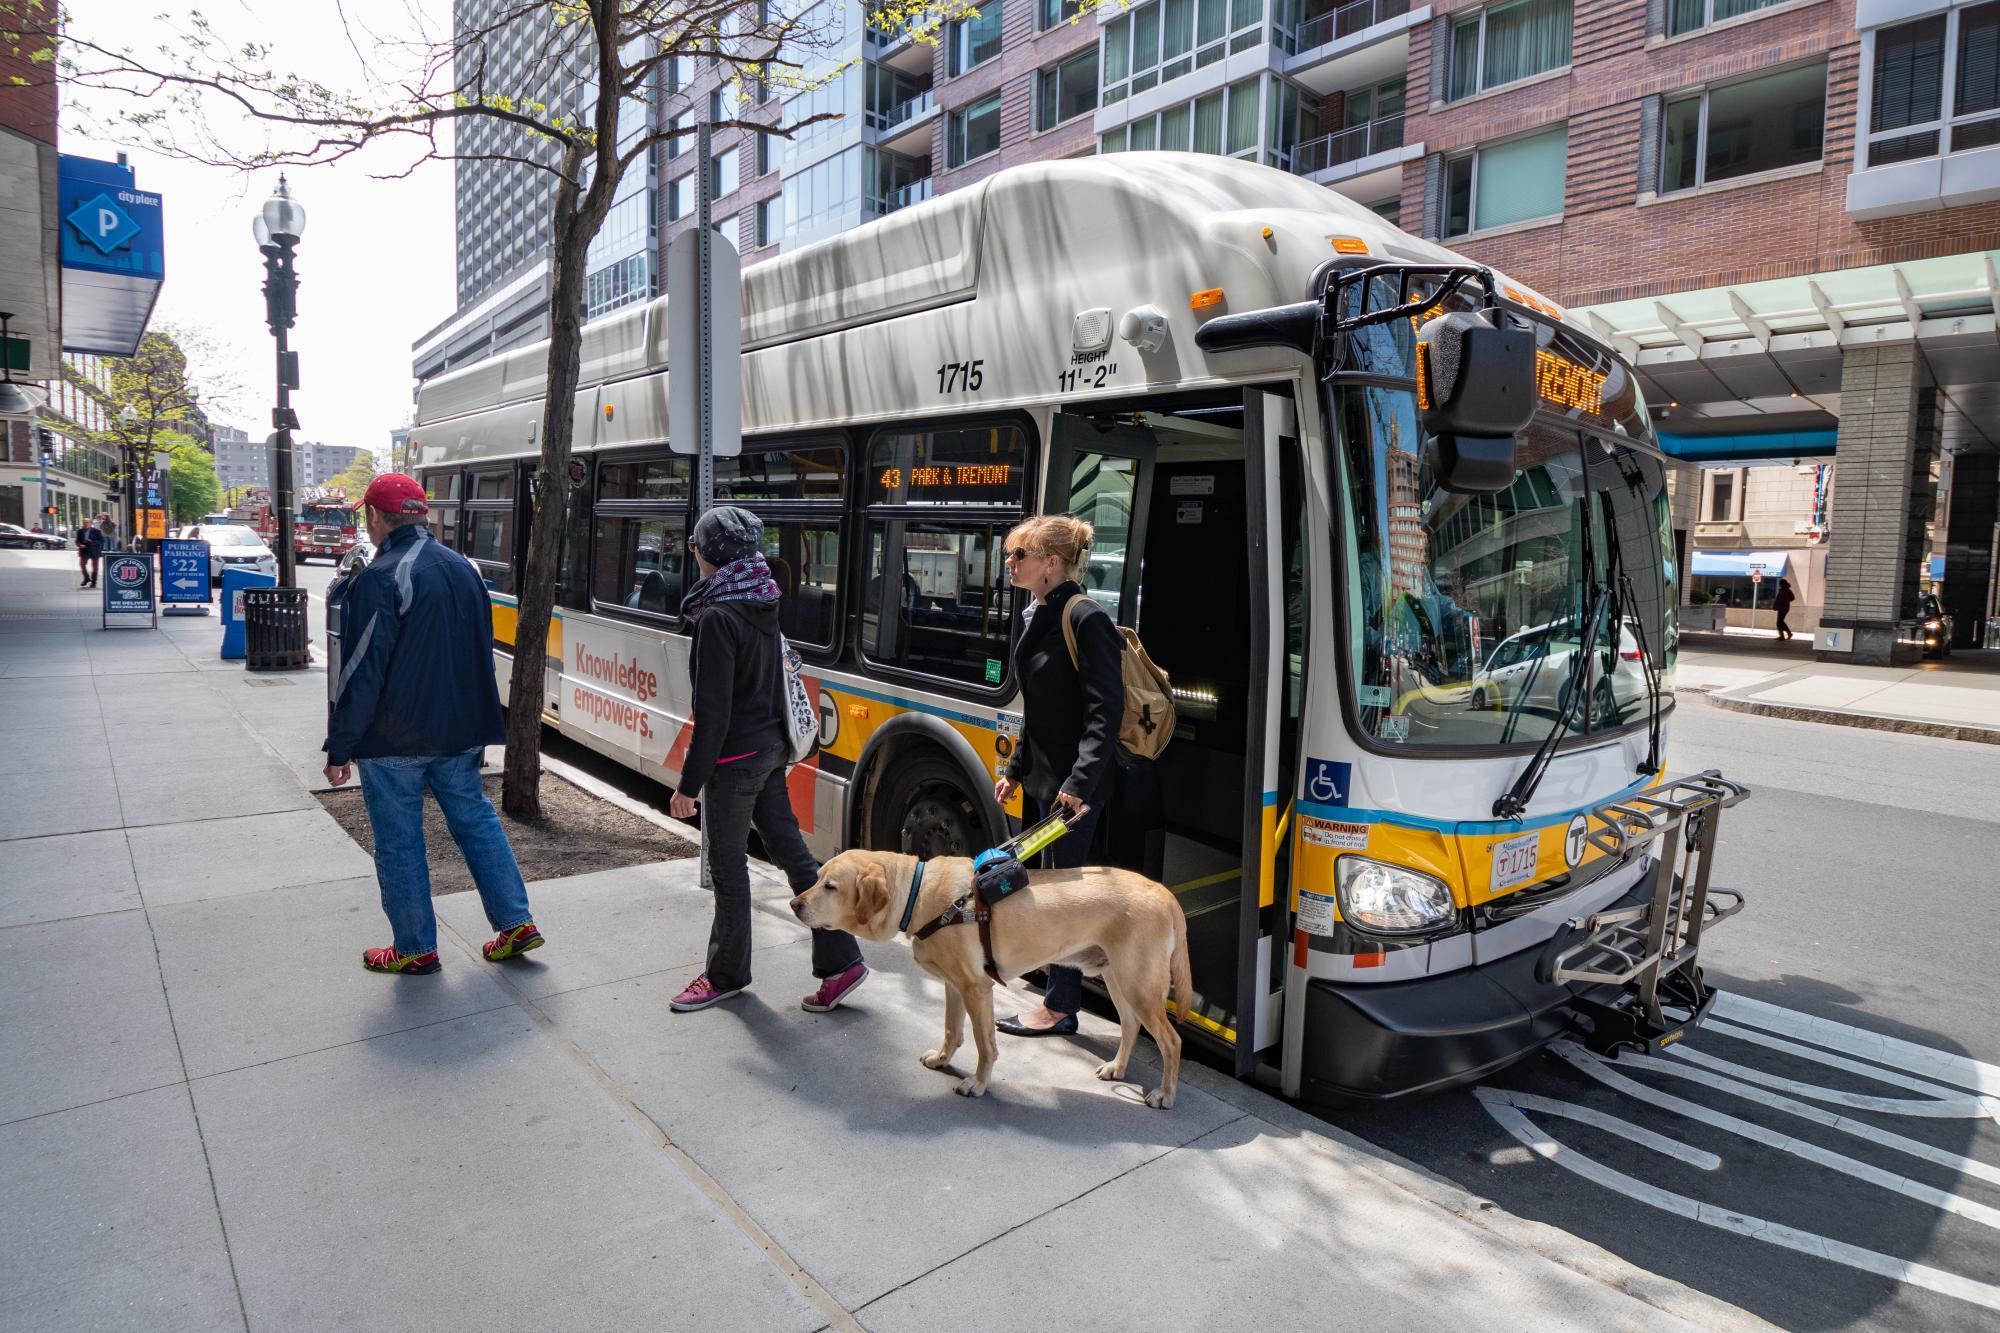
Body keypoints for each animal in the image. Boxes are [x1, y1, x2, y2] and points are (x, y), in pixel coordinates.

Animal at [788, 844, 1184, 1104]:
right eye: (817, 878)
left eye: (831, 886)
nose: (793, 903)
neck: (919, 895)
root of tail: (1164, 892)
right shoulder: (954, 986)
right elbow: (952, 1031)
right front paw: (942, 1060)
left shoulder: (977, 988)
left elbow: (985, 1044)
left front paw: (978, 1084)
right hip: (1118, 979)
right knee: (1131, 1026)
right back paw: (1117, 1068)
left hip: (1139, 986)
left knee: (1171, 1041)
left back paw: (1165, 1094)